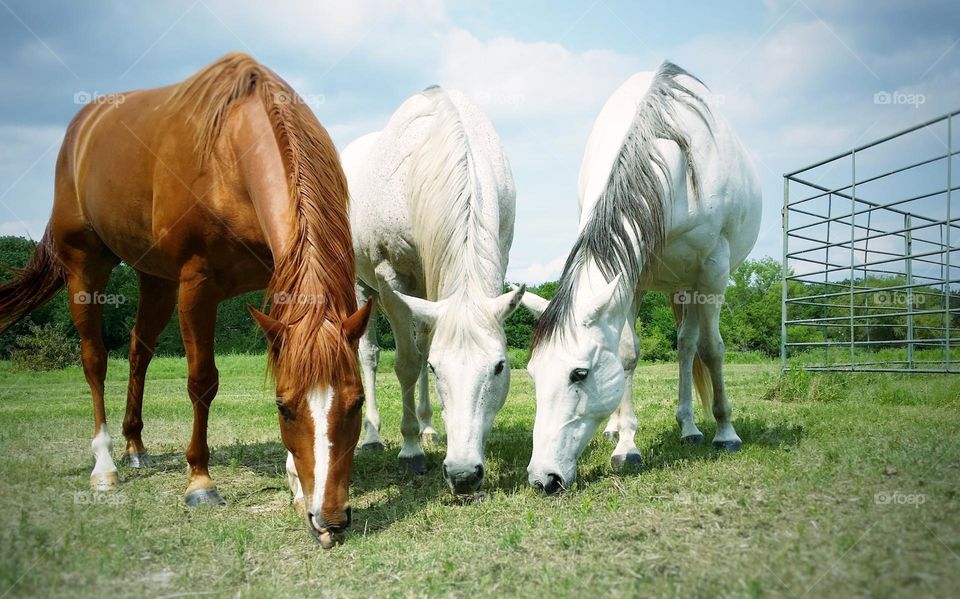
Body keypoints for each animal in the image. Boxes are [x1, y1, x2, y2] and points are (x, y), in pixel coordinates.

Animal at [0, 52, 372, 548]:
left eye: (358, 402)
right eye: (283, 408)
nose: (329, 520)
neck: (231, 153)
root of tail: (80, 130)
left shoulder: (276, 278)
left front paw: (296, 485)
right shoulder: (197, 285)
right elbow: (202, 381)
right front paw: (200, 481)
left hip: (154, 280)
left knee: (138, 349)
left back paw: (136, 447)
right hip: (87, 267)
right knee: (95, 359)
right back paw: (105, 466)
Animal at [342, 85, 524, 496]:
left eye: (500, 366)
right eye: (437, 369)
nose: (463, 474)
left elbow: (421, 351)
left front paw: (423, 431)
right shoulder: (390, 278)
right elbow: (407, 363)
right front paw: (409, 450)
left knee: (423, 337)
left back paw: (427, 427)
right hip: (363, 288)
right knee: (369, 355)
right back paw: (373, 437)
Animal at [520, 62, 760, 492]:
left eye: (579, 373)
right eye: (533, 374)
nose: (543, 478)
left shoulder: (713, 274)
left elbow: (713, 349)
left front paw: (726, 432)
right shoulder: (628, 279)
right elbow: (628, 353)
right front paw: (627, 445)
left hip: (689, 287)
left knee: (687, 347)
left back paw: (690, 428)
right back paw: (618, 428)